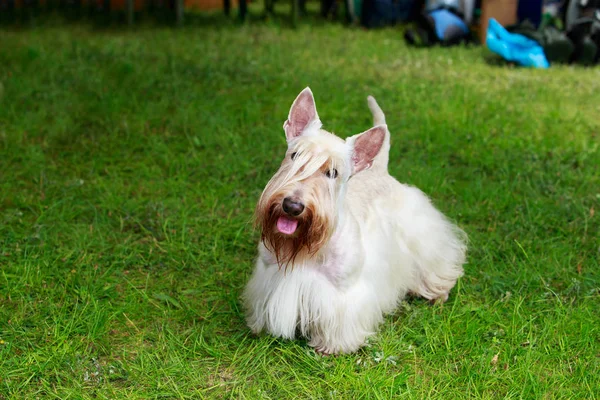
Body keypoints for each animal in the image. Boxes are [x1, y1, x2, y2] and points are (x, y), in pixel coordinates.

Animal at [241, 86, 466, 354]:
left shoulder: (343, 295)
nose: (292, 206)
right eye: (294, 156)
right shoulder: (268, 277)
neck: (307, 247)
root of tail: (379, 168)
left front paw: (330, 346)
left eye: (332, 172)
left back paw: (438, 292)